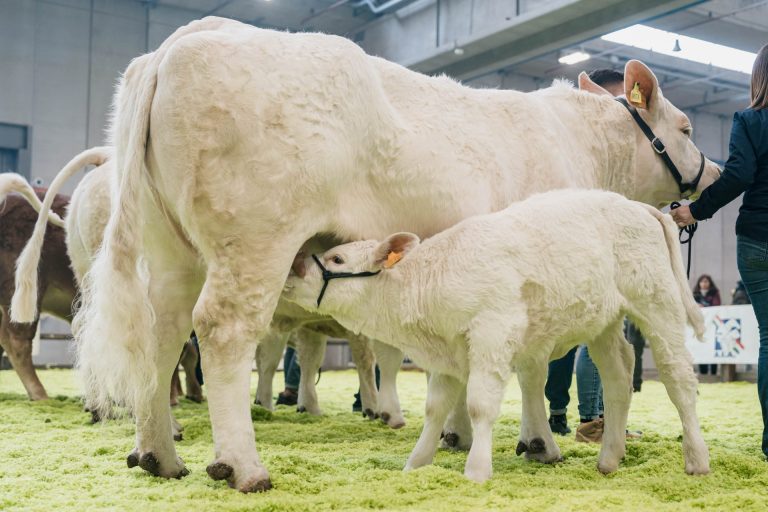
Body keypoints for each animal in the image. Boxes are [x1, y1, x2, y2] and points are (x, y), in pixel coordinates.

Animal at [282, 189, 708, 484]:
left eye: (337, 259)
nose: (293, 265)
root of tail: (638, 206)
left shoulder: (492, 332)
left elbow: (479, 405)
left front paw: (476, 471)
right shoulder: (447, 355)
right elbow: (435, 409)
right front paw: (417, 464)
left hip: (658, 302)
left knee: (678, 377)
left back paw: (697, 459)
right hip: (603, 322)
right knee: (618, 377)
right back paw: (609, 459)